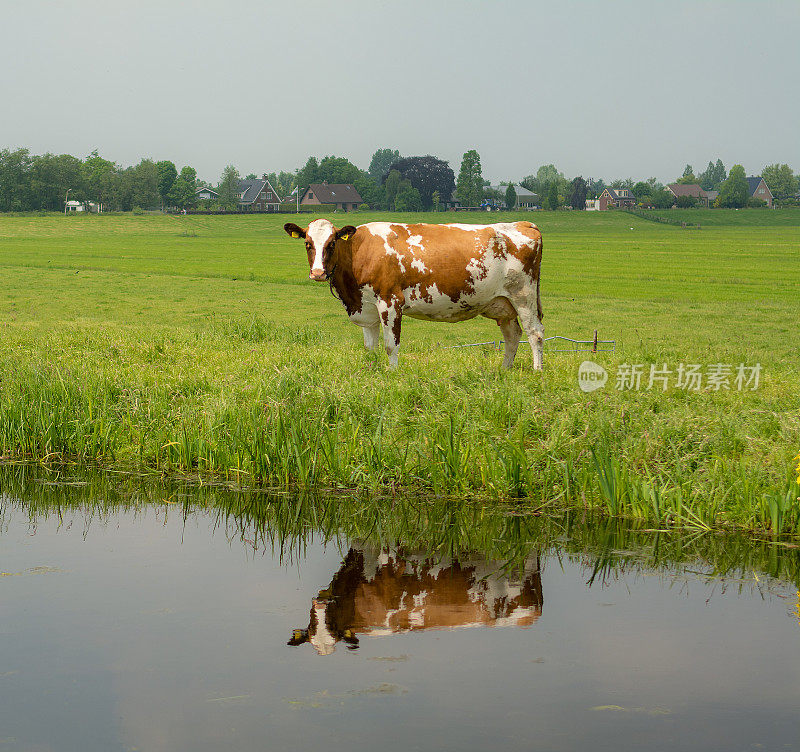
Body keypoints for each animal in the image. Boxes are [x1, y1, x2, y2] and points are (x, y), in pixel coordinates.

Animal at [282, 217, 544, 370]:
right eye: (308, 243)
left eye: (332, 243)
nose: (317, 273)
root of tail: (522, 224)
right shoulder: (366, 307)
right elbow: (369, 348)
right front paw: (370, 372)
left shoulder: (390, 302)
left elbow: (391, 345)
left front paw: (392, 375)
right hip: (503, 304)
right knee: (512, 336)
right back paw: (504, 371)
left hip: (524, 295)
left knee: (535, 333)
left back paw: (537, 371)